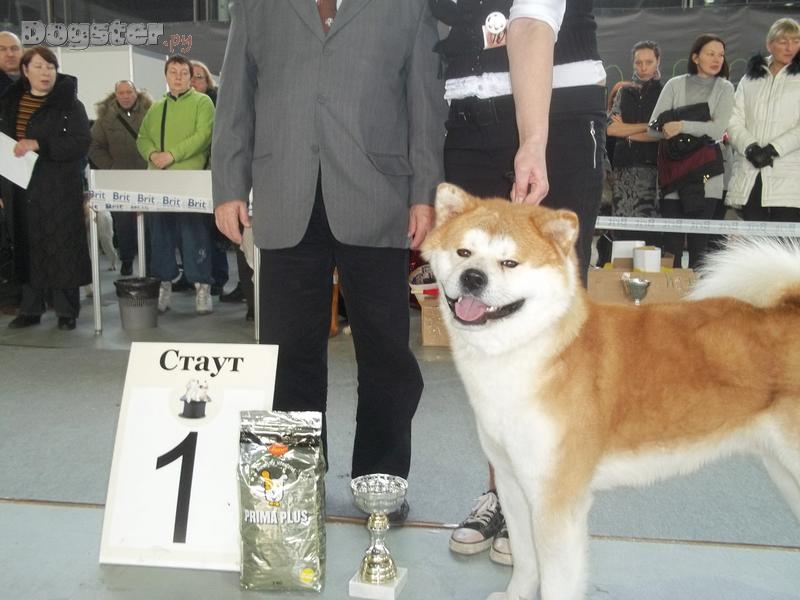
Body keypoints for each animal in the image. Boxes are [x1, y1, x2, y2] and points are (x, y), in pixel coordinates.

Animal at [421, 183, 800, 600]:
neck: (532, 353)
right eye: (464, 253)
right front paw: (516, 594)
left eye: (510, 263)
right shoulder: (512, 482)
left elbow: (557, 579)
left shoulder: (557, 496)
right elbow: (525, 559)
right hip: (783, 472)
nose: (473, 278)